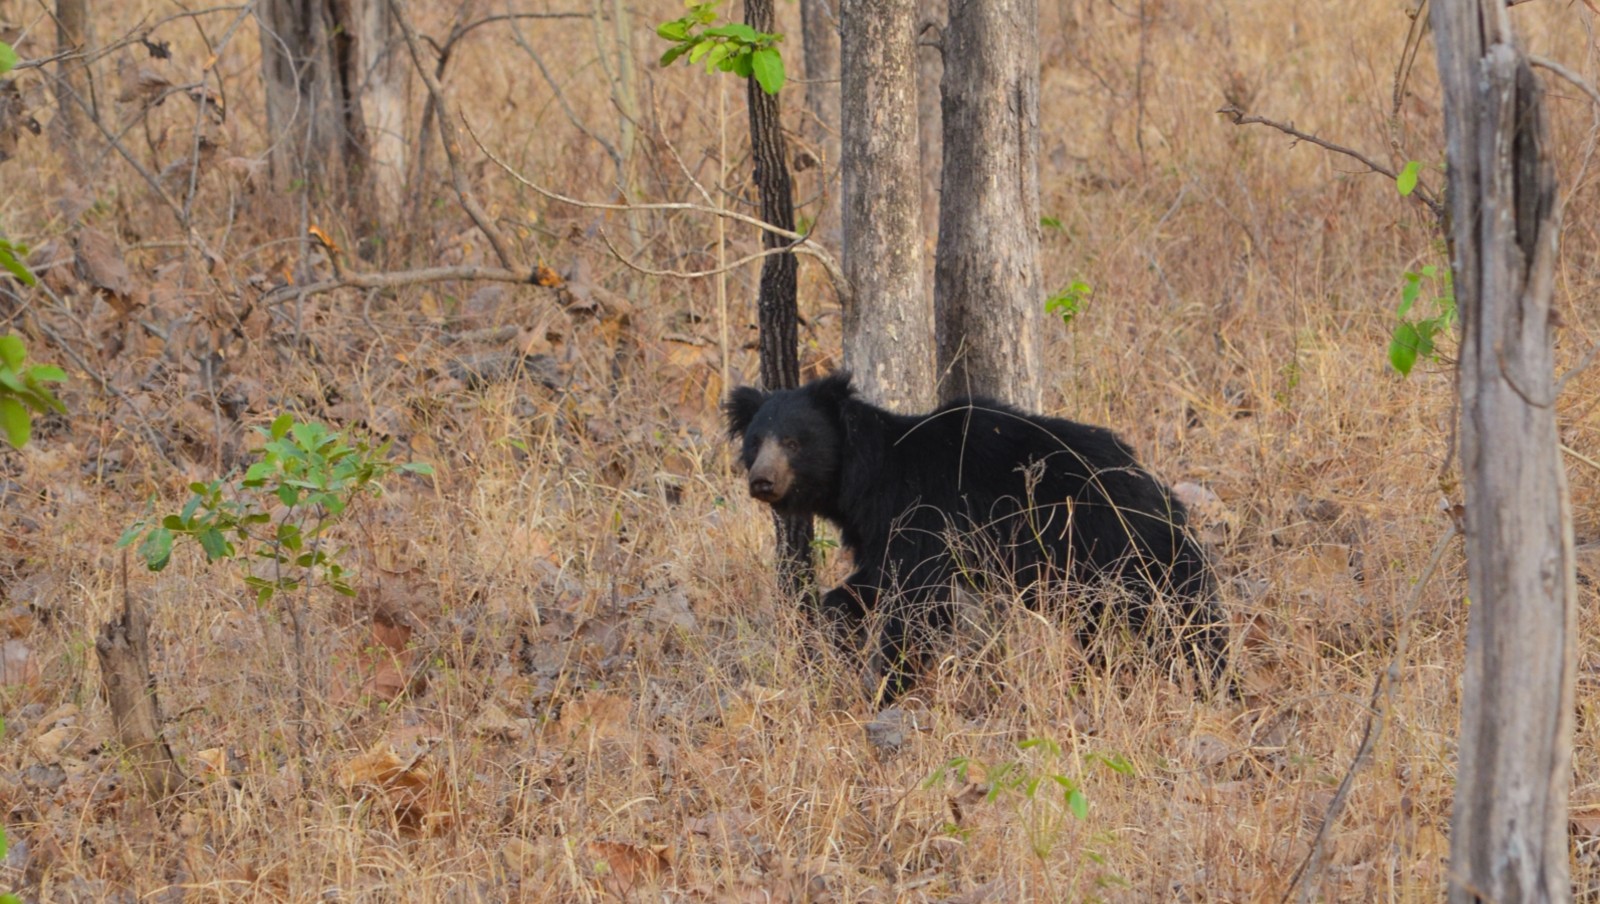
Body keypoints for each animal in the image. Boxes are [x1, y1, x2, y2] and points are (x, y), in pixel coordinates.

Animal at [726, 369, 1222, 694]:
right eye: (755, 442)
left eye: (794, 443)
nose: (762, 482)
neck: (866, 479)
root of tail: (1159, 494)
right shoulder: (882, 530)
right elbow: (871, 583)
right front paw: (837, 628)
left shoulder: (923, 511)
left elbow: (917, 601)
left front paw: (889, 684)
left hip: (1119, 553)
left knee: (1183, 620)